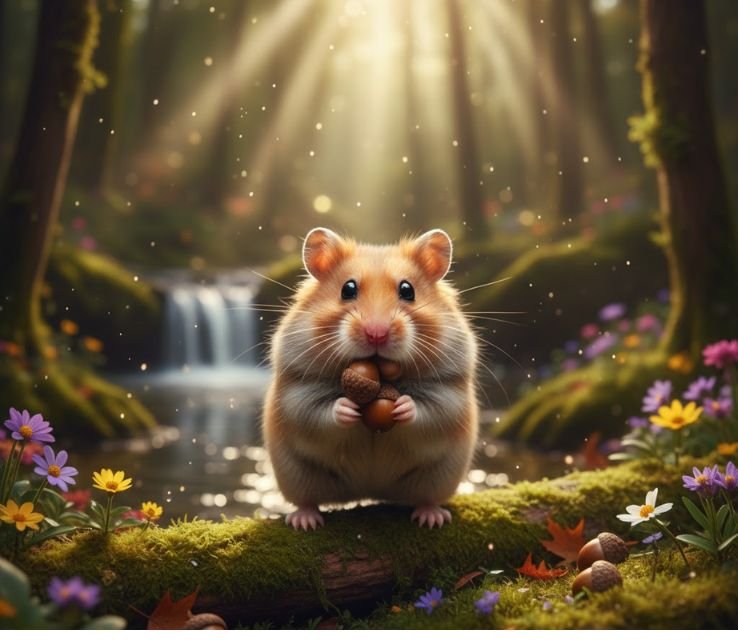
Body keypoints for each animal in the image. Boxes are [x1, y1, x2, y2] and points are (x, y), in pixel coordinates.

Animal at [262, 228, 479, 530]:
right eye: (348, 289)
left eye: (407, 290)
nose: (377, 334)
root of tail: (369, 491)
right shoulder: (298, 391)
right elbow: (317, 412)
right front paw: (347, 408)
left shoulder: (449, 391)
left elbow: (430, 410)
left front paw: (403, 406)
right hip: (297, 476)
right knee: (307, 500)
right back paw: (304, 521)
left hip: (438, 477)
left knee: (426, 497)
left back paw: (431, 518)